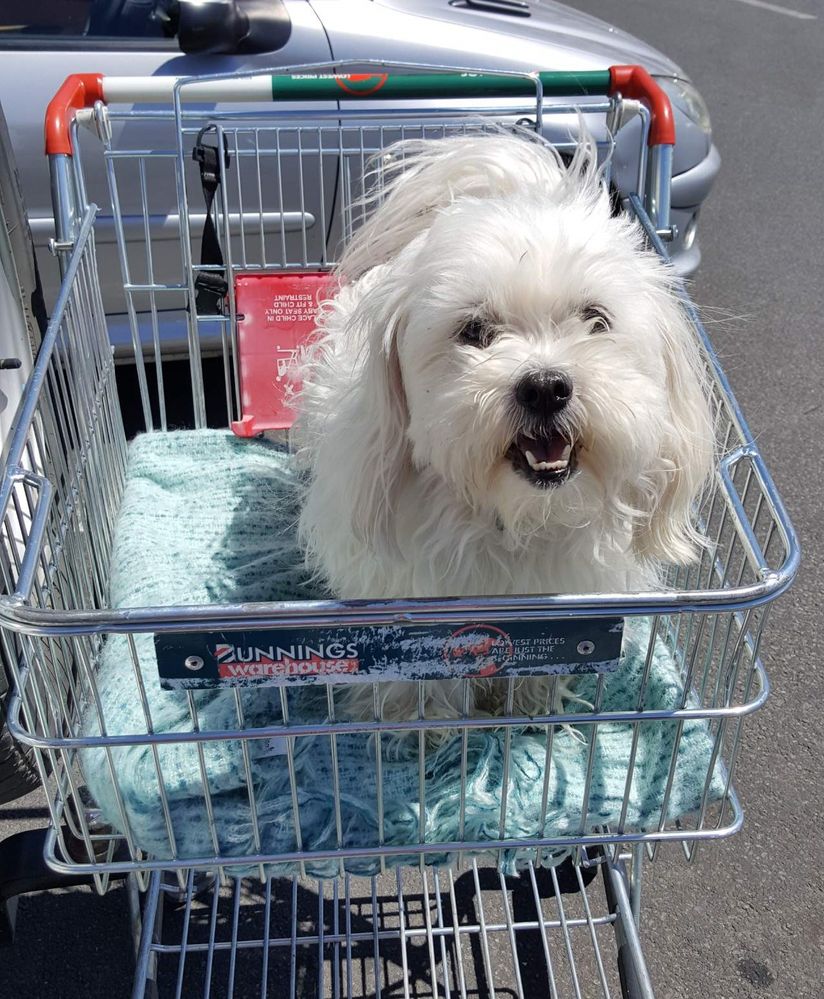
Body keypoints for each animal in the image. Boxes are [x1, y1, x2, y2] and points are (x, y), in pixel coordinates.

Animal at [296, 133, 716, 736]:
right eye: (474, 330)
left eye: (596, 319)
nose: (544, 387)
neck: (517, 517)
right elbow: (411, 665)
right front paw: (419, 719)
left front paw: (530, 702)